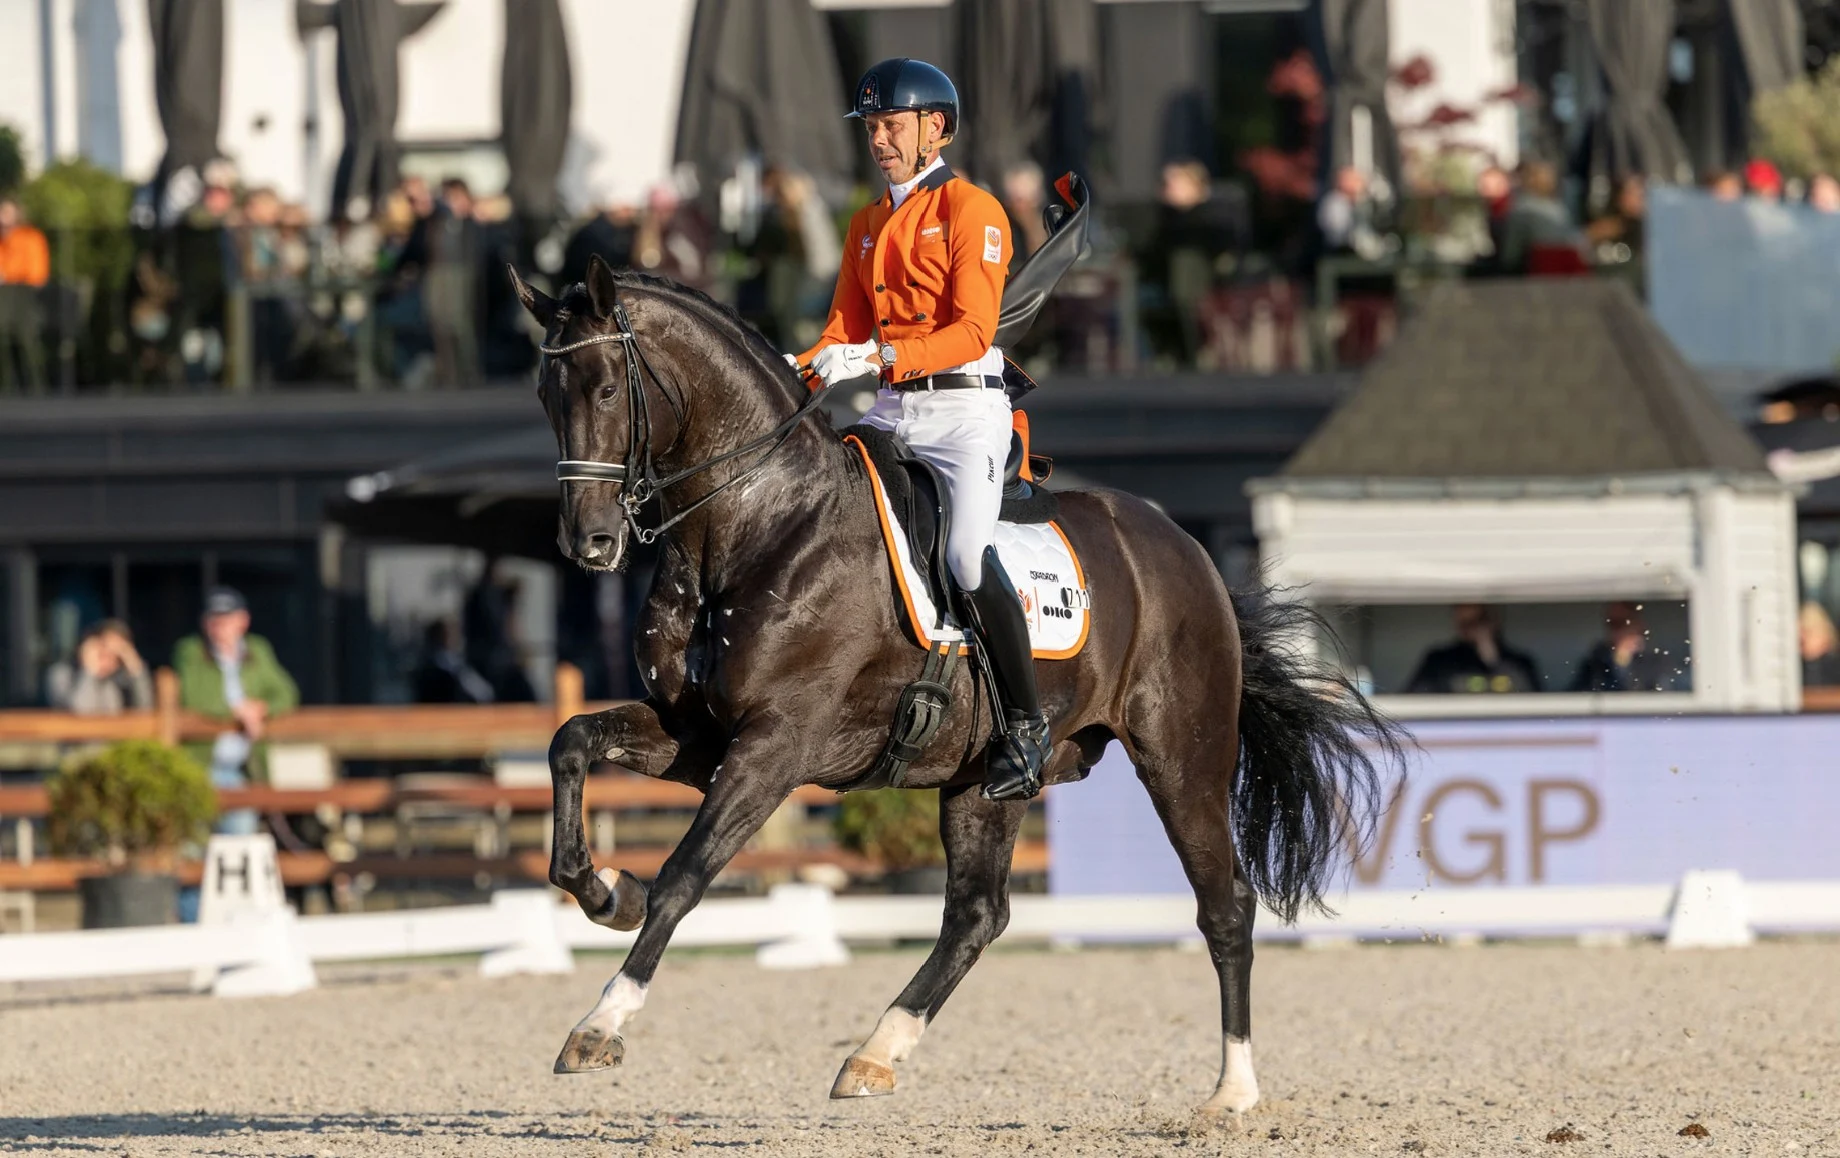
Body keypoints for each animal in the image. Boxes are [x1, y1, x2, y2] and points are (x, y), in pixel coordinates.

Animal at [510, 255, 1406, 1115]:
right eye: (545, 396)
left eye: (603, 388)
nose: (589, 542)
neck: (759, 522)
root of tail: (1188, 550)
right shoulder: (700, 733)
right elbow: (570, 743)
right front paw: (602, 891)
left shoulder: (776, 744)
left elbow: (685, 875)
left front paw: (601, 1022)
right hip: (984, 779)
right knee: (978, 914)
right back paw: (876, 1052)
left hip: (1181, 761)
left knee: (1225, 906)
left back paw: (1233, 1092)